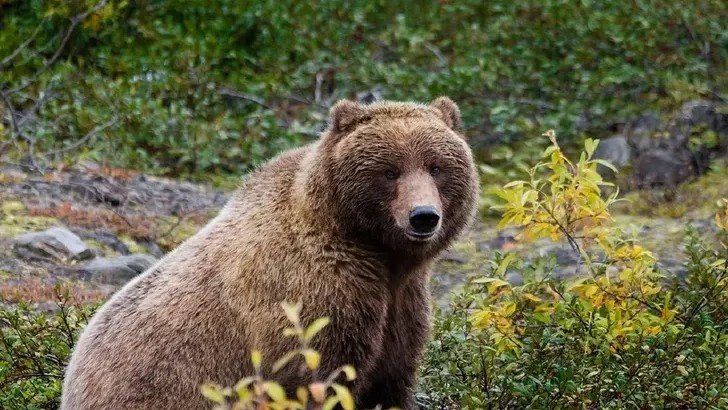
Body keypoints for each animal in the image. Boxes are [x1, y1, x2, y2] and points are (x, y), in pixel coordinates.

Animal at [61, 97, 479, 410]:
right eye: (390, 171)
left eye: (436, 167)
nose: (423, 216)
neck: (376, 253)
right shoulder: (312, 298)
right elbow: (317, 379)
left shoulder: (402, 307)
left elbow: (390, 382)